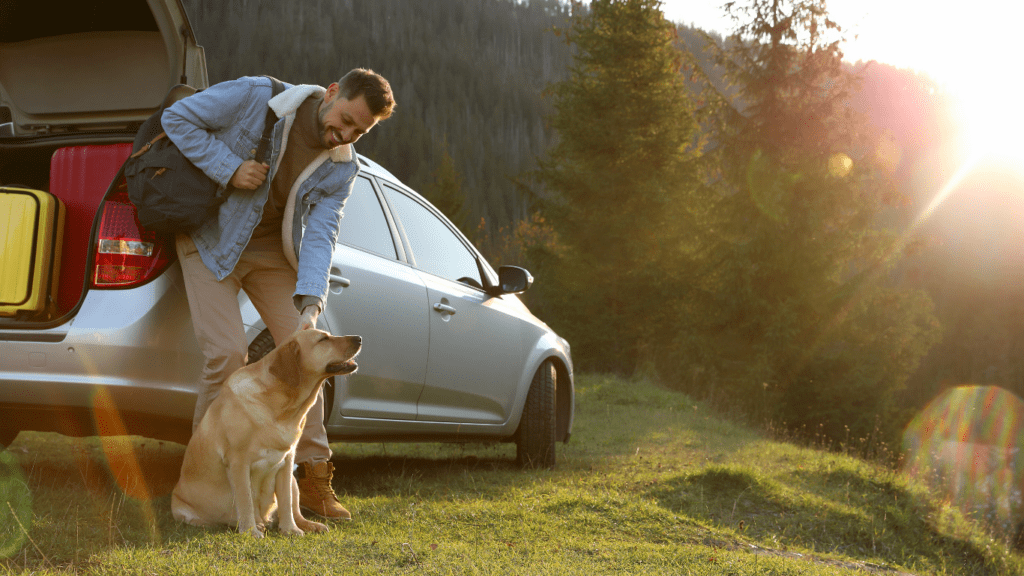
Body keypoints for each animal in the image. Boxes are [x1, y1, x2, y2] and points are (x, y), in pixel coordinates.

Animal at [176, 330, 364, 537]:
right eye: (323, 339)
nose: (359, 338)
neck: (282, 407)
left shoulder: (287, 462)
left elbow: (285, 502)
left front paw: (290, 529)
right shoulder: (238, 462)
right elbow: (246, 500)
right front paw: (251, 531)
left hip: (294, 481)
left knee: (295, 510)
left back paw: (310, 525)